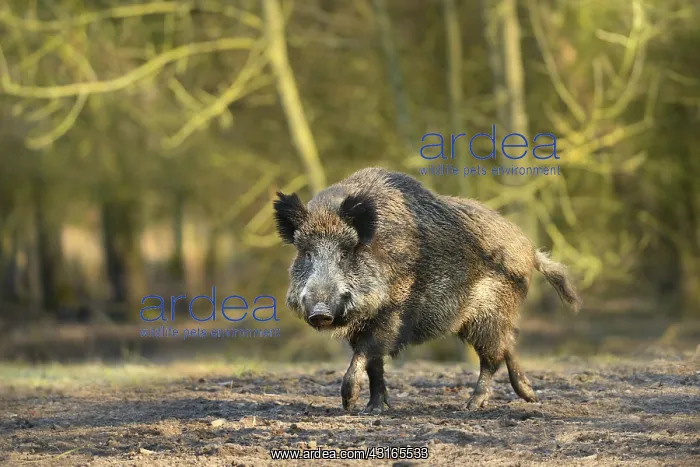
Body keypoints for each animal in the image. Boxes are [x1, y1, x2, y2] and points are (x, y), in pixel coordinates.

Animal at [272, 167, 582, 414]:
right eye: (307, 254)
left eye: (345, 253)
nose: (320, 313)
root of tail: (530, 249)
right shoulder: (364, 324)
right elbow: (374, 366)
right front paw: (374, 409)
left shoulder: (393, 312)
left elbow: (367, 353)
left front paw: (351, 404)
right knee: (510, 342)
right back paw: (528, 396)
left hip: (489, 313)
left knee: (492, 356)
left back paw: (471, 406)